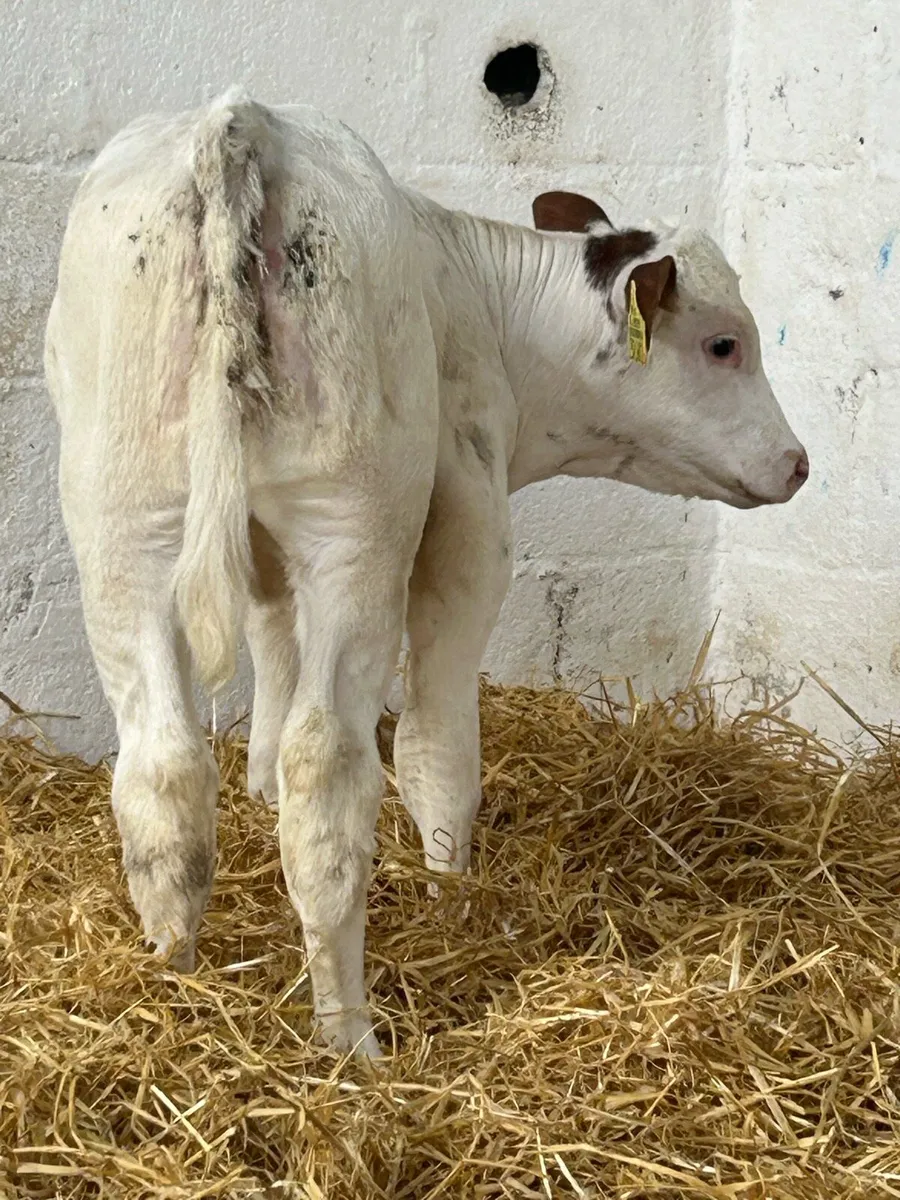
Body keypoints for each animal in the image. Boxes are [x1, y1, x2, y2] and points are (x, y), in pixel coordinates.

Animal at [44, 88, 808, 1058]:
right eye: (723, 345)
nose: (798, 463)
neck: (490, 310)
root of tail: (243, 120)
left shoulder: (264, 556)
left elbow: (268, 696)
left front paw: (259, 801)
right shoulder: (468, 521)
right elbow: (435, 744)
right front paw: (458, 902)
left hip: (123, 520)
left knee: (164, 766)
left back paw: (172, 990)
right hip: (356, 523)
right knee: (328, 768)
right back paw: (351, 1040)